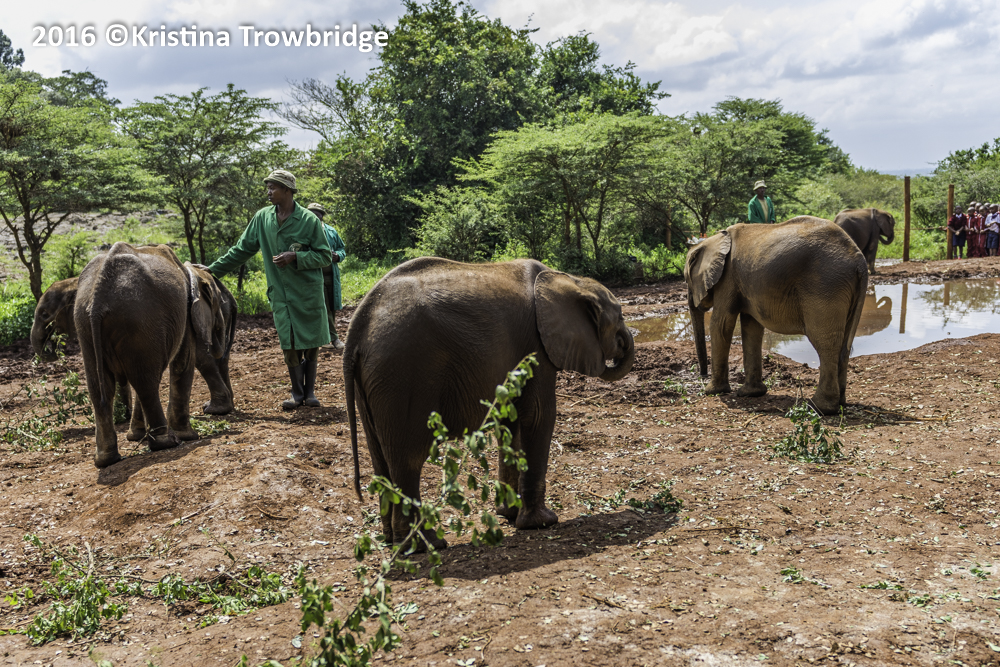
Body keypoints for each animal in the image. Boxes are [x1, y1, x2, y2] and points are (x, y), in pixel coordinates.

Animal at [31, 262, 238, 416]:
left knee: (203, 356)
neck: (72, 282)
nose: (52, 351)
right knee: (218, 359)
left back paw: (215, 409)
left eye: (44, 314)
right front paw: (123, 416)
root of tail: (228, 295)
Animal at [74, 242, 232, 468]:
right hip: (138, 321)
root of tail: (97, 300)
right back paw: (167, 442)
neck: (190, 271)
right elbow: (185, 361)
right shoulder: (184, 313)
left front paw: (136, 435)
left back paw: (106, 460)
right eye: (218, 302)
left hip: (85, 327)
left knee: (100, 388)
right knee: (144, 382)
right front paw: (189, 435)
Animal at [345, 257, 635, 548]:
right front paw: (542, 522)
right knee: (409, 460)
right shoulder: (536, 348)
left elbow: (510, 422)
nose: (621, 346)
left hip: (374, 382)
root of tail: (358, 327)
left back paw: (391, 540)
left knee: (381, 459)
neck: (570, 280)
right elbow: (539, 416)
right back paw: (425, 545)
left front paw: (510, 514)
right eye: (620, 316)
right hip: (404, 375)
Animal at [685, 217, 868, 414]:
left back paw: (818, 407)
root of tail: (859, 260)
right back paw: (840, 403)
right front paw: (750, 394)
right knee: (844, 346)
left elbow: (721, 325)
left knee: (825, 344)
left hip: (826, 285)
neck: (714, 239)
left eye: (686, 280)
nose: (702, 374)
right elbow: (751, 328)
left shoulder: (728, 279)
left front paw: (712, 392)